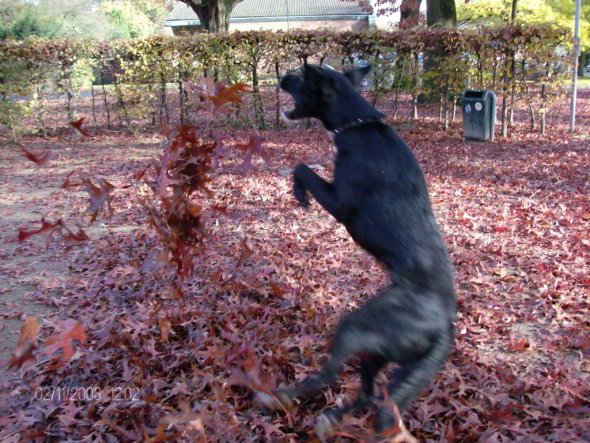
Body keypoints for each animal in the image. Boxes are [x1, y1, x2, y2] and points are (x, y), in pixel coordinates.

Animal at [262, 66, 460, 440]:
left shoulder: (340, 203)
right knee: (370, 396)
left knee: (333, 375)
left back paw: (282, 396)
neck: (358, 124)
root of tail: (445, 328)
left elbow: (302, 167)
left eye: (300, 78)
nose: (281, 76)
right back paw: (330, 418)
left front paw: (299, 193)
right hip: (379, 353)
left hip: (358, 326)